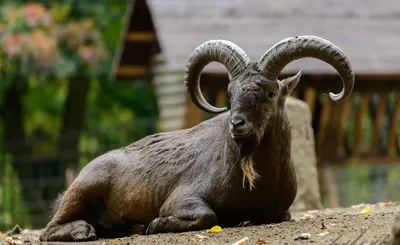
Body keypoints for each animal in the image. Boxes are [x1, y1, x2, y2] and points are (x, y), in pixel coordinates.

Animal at [39, 36, 354, 241]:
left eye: (270, 93)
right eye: (230, 91)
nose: (237, 124)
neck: (253, 181)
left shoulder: (281, 210)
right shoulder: (184, 198)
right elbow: (208, 216)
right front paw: (153, 224)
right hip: (86, 186)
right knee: (48, 229)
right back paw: (84, 230)